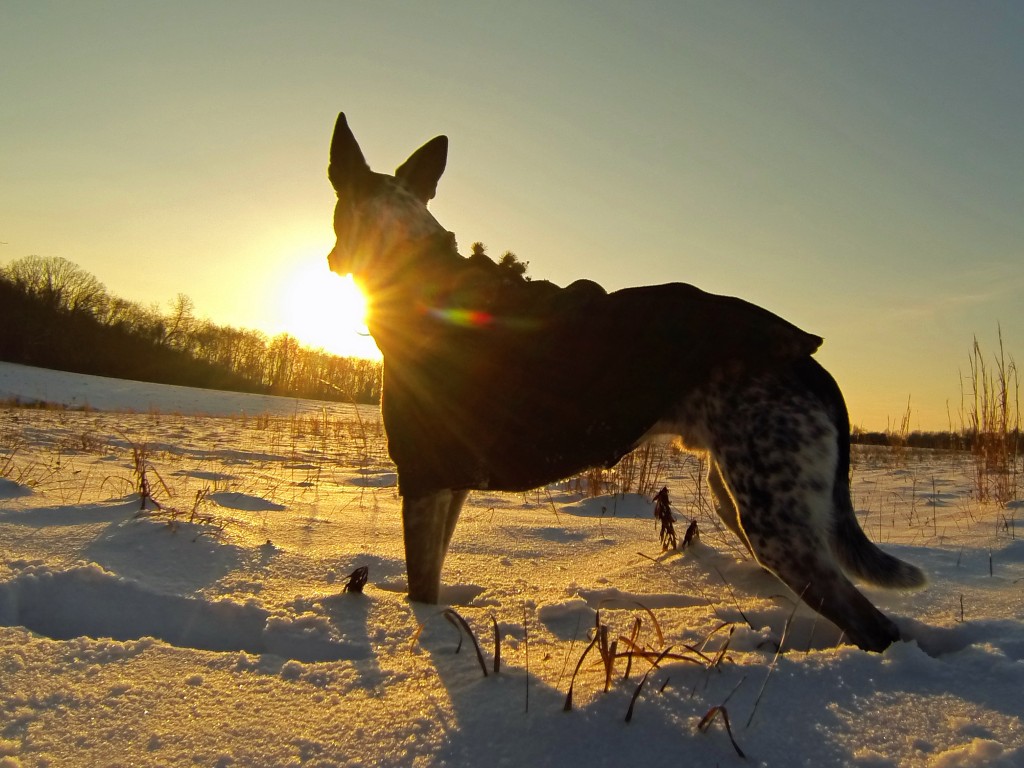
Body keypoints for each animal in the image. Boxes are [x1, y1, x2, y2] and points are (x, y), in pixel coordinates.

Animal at [323, 114, 925, 651]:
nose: (330, 260)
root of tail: (810, 364)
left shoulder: (422, 479)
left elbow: (420, 594)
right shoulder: (448, 486)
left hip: (774, 522)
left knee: (875, 628)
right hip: (742, 500)